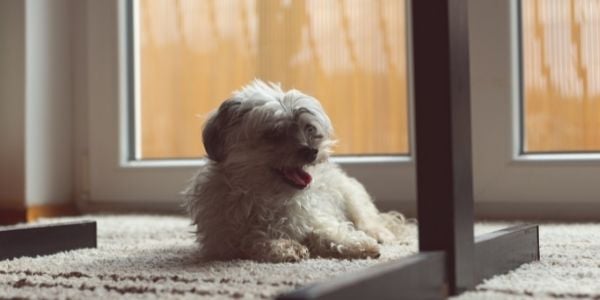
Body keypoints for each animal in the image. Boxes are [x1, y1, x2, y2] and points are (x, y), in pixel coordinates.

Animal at [185, 80, 406, 262]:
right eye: (275, 133)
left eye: (309, 128)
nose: (312, 150)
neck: (266, 198)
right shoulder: (223, 241)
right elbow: (251, 239)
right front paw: (284, 247)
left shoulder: (315, 217)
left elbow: (328, 231)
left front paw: (359, 244)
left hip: (352, 197)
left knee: (368, 220)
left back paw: (381, 235)